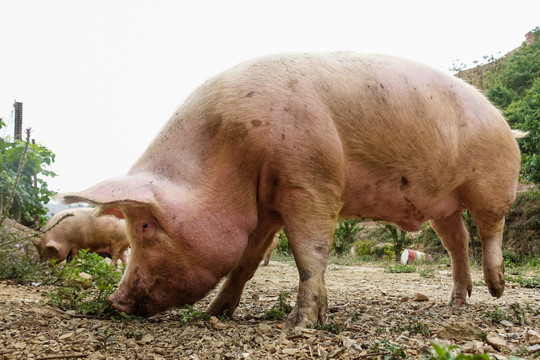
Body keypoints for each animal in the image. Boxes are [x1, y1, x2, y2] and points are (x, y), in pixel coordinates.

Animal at [59, 52, 524, 326]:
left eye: (144, 227)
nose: (114, 302)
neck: (228, 151)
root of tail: (506, 122)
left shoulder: (310, 181)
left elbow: (309, 253)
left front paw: (301, 324)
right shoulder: (265, 206)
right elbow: (245, 262)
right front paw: (216, 314)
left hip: (492, 182)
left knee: (490, 228)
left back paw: (497, 288)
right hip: (442, 204)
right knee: (457, 241)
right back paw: (458, 302)